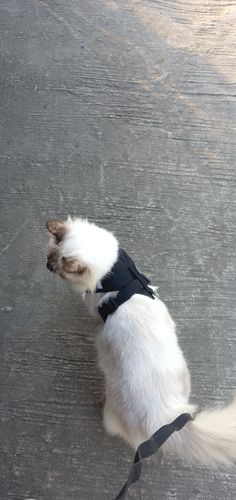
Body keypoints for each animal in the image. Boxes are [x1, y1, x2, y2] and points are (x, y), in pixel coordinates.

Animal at [46, 217, 236, 466]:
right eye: (50, 254)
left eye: (59, 268)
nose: (47, 266)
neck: (116, 277)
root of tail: (161, 418)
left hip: (113, 407)